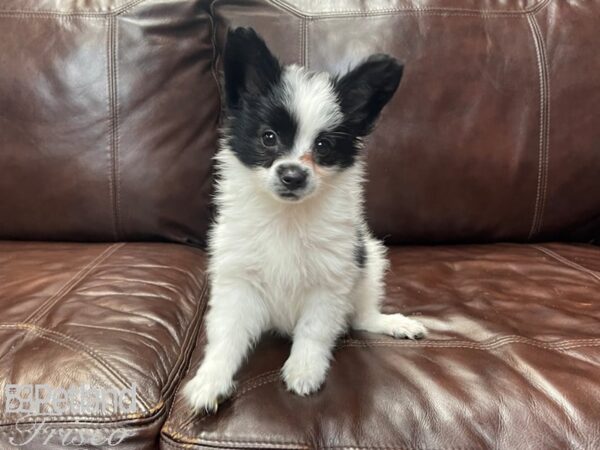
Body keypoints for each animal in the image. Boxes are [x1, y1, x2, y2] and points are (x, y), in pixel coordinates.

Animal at [184, 27, 426, 414]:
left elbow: (314, 330)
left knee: (361, 317)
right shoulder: (238, 281)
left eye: (324, 146)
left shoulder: (330, 281)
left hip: (370, 262)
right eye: (268, 137)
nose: (293, 176)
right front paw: (211, 379)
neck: (287, 216)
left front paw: (304, 370)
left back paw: (393, 323)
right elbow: (226, 334)